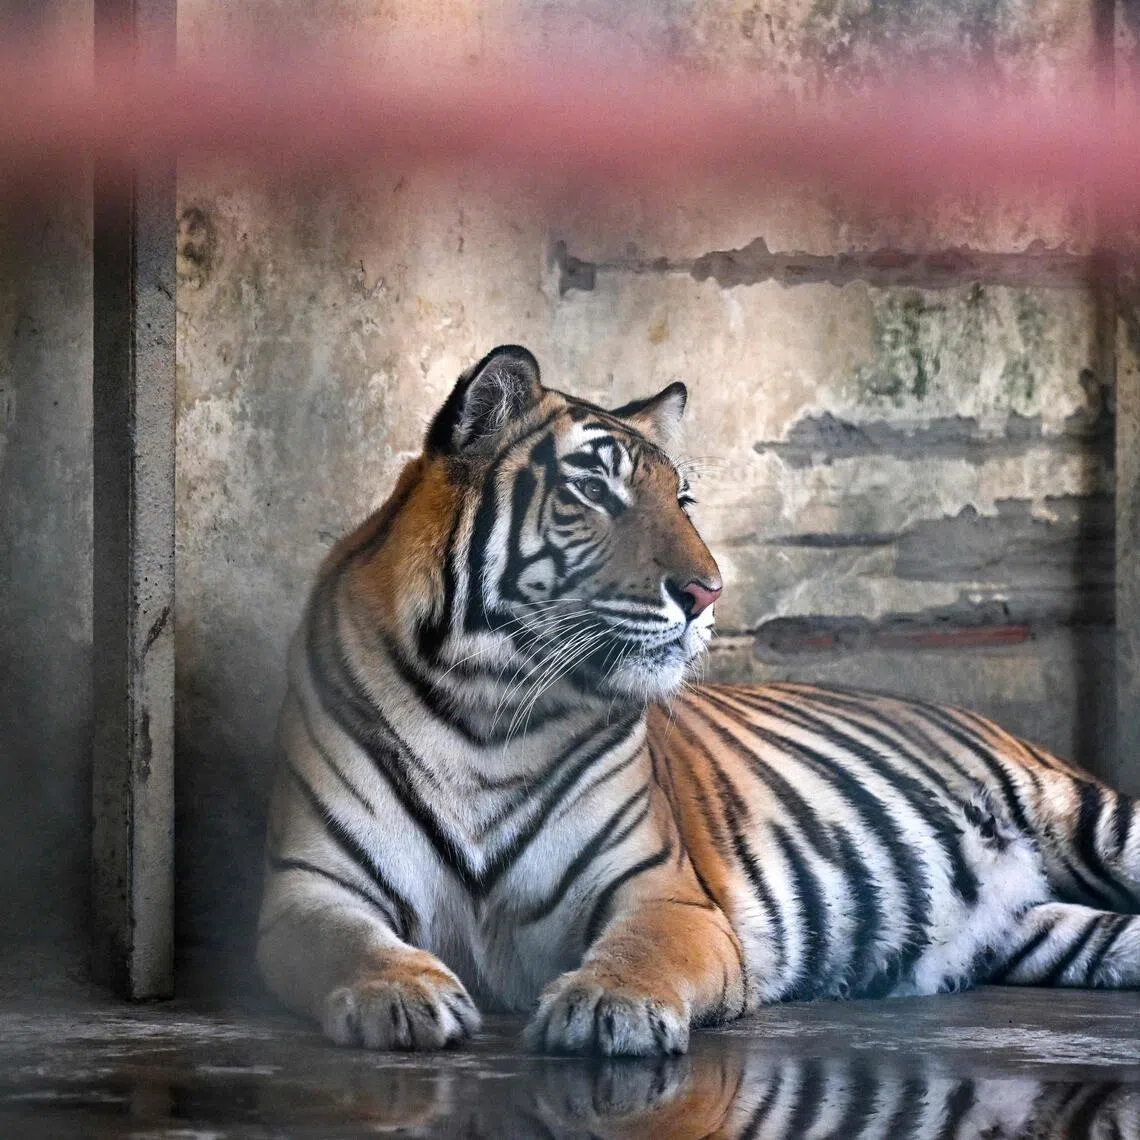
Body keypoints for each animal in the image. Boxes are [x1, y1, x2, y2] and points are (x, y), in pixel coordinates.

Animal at [258, 343, 1140, 1056]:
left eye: (681, 501)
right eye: (595, 493)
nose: (707, 591)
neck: (487, 714)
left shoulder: (664, 891)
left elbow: (645, 949)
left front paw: (608, 1007)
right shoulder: (311, 885)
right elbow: (350, 944)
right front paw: (400, 993)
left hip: (1092, 820)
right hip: (1042, 930)